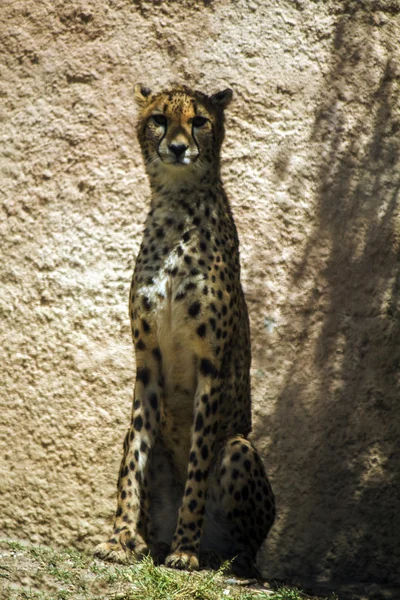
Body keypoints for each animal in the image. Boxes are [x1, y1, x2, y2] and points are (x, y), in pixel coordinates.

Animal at [94, 83, 276, 576]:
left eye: (199, 121)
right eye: (159, 119)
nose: (177, 147)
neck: (177, 205)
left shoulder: (211, 366)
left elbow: (197, 464)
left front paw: (185, 548)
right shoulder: (148, 362)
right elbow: (132, 462)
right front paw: (119, 539)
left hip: (238, 448)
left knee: (247, 549)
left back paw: (217, 556)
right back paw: (147, 543)